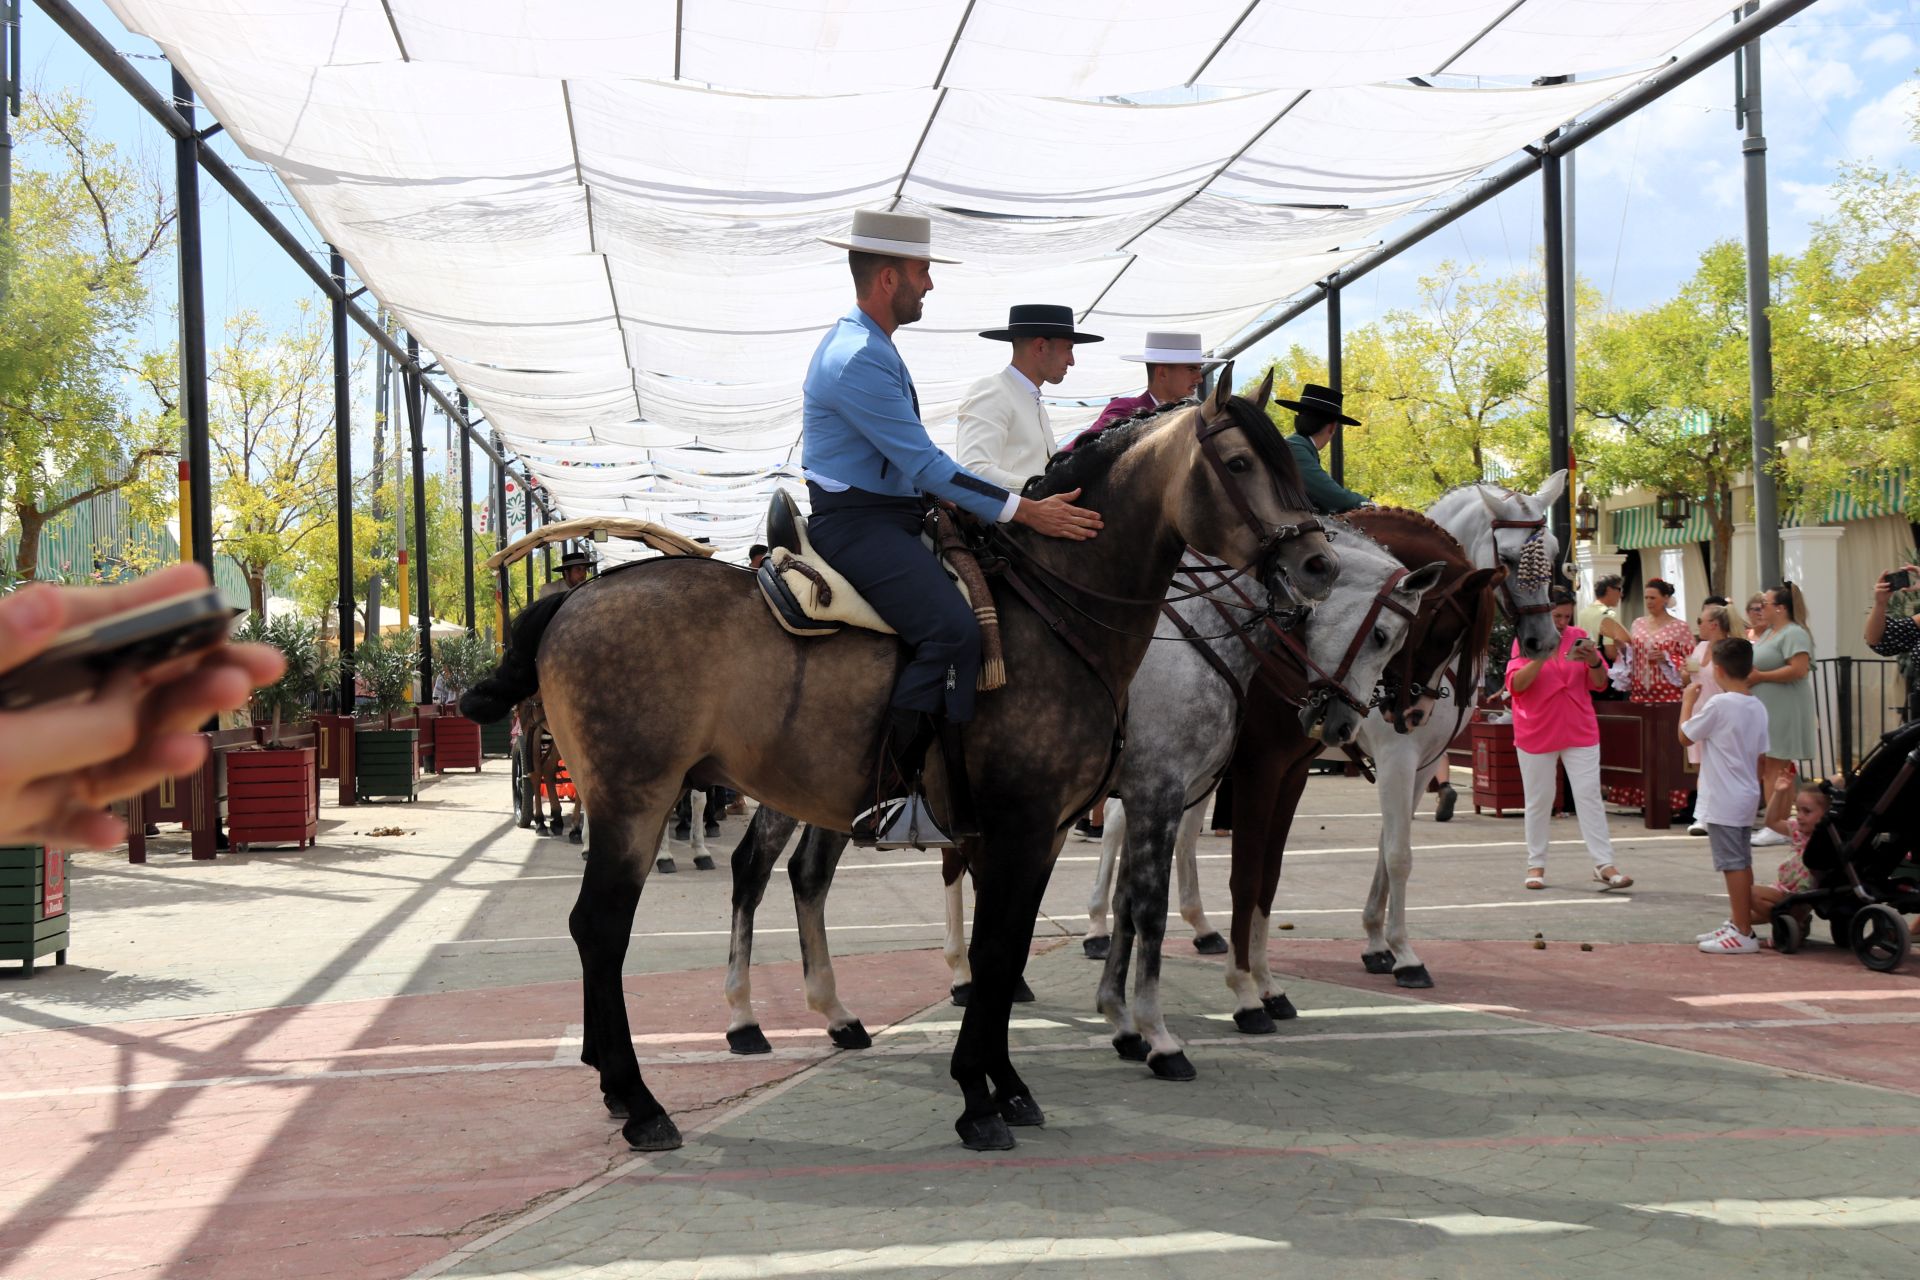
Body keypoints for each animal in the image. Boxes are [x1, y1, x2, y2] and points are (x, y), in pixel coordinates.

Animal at [462, 376, 1336, 1159]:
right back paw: (641, 1099)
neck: (1054, 615)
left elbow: (1008, 950)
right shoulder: (1032, 825)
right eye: (1239, 461)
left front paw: (1007, 1086)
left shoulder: (1047, 831)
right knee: (604, 926)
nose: (1319, 564)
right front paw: (980, 1095)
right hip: (634, 802)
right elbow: (1002, 952)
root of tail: (578, 597)